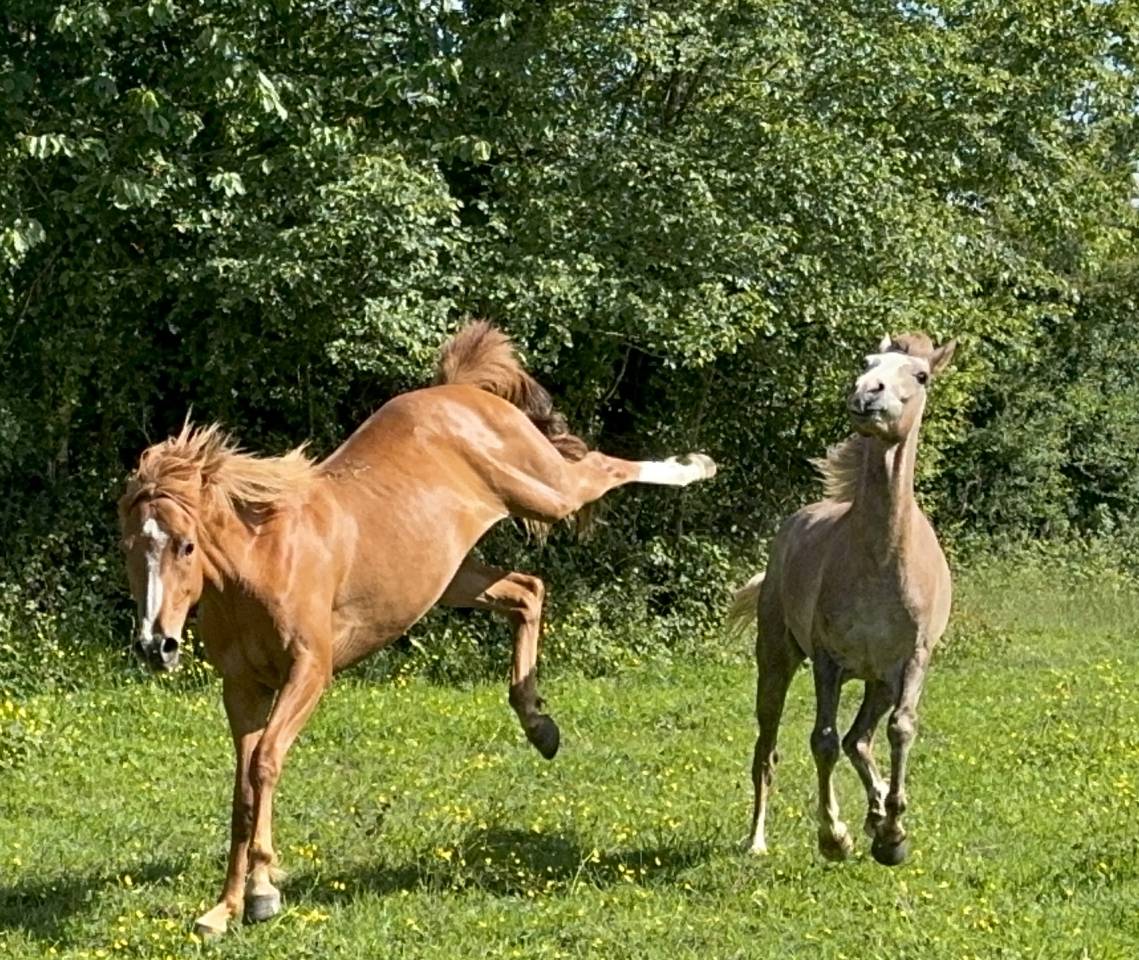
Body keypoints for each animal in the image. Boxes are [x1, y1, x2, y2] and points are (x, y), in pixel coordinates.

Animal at [118, 322, 716, 936]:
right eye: (129, 547)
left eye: (186, 545)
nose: (156, 645)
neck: (261, 561)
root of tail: (462, 390)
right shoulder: (242, 689)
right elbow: (243, 788)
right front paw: (226, 907)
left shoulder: (309, 672)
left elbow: (264, 765)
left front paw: (262, 892)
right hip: (452, 574)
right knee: (528, 591)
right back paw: (539, 726)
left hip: (545, 491)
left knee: (599, 469)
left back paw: (697, 464)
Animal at [727, 332, 955, 866]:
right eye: (867, 362)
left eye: (921, 375)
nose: (866, 394)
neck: (880, 557)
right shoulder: (828, 661)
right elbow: (823, 741)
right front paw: (835, 837)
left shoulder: (912, 662)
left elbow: (900, 731)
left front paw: (891, 835)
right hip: (776, 660)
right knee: (768, 750)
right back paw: (757, 841)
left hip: (879, 682)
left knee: (862, 740)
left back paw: (877, 812)